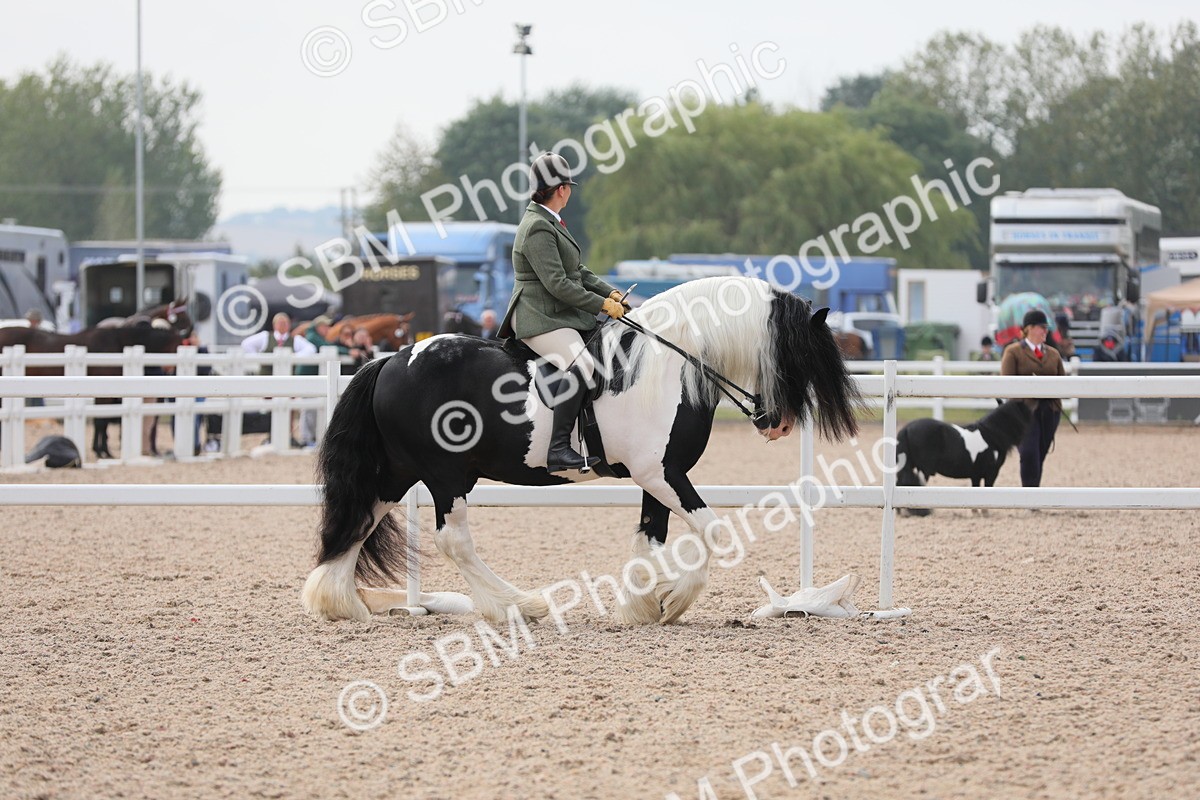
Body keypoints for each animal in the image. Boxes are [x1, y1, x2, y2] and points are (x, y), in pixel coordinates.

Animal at [302, 276, 862, 626]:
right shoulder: (663, 474)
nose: (778, 425)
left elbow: (649, 540)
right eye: (799, 355)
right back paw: (519, 607)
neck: (669, 362)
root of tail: (393, 358)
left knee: (360, 519)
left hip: (398, 471)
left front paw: (642, 606)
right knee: (453, 542)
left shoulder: (655, 476)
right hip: (445, 474)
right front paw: (672, 601)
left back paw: (338, 604)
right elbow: (714, 533)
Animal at [895, 400, 1033, 516]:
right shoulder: (991, 472)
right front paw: (985, 513)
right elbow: (987, 489)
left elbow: (976, 489)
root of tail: (906, 428)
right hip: (923, 470)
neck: (991, 435)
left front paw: (975, 513)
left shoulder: (976, 474)